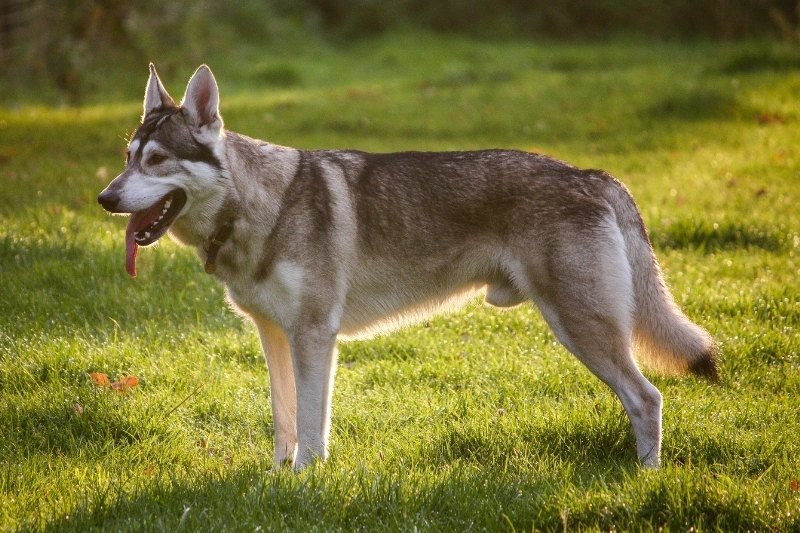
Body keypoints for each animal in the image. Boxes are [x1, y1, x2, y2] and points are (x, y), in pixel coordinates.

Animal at [97, 64, 716, 468]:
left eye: (157, 160)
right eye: (127, 158)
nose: (105, 198)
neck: (259, 207)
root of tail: (593, 175)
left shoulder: (315, 337)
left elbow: (312, 428)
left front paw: (306, 483)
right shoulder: (274, 334)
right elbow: (283, 422)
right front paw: (276, 480)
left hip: (582, 330)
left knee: (648, 399)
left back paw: (646, 476)